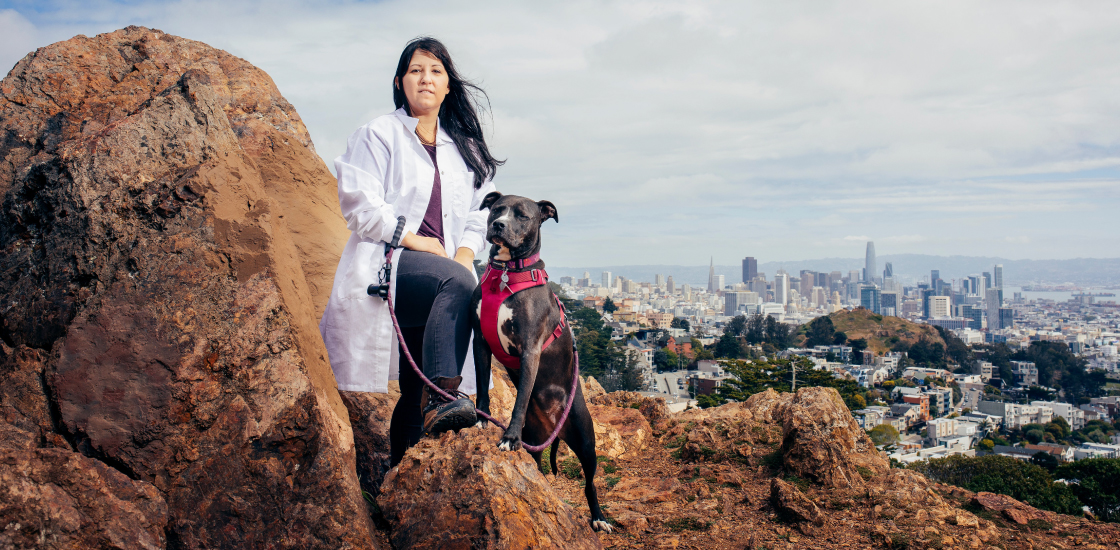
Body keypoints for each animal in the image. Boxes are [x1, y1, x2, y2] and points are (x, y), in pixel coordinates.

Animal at [472, 191, 613, 530]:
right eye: (496, 209)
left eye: (522, 215)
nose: (498, 224)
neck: (508, 273)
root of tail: (554, 427)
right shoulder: (479, 340)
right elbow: (482, 385)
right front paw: (482, 419)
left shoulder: (530, 350)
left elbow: (521, 398)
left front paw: (508, 438)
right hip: (535, 440)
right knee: (537, 465)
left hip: (585, 442)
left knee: (590, 484)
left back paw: (599, 518)